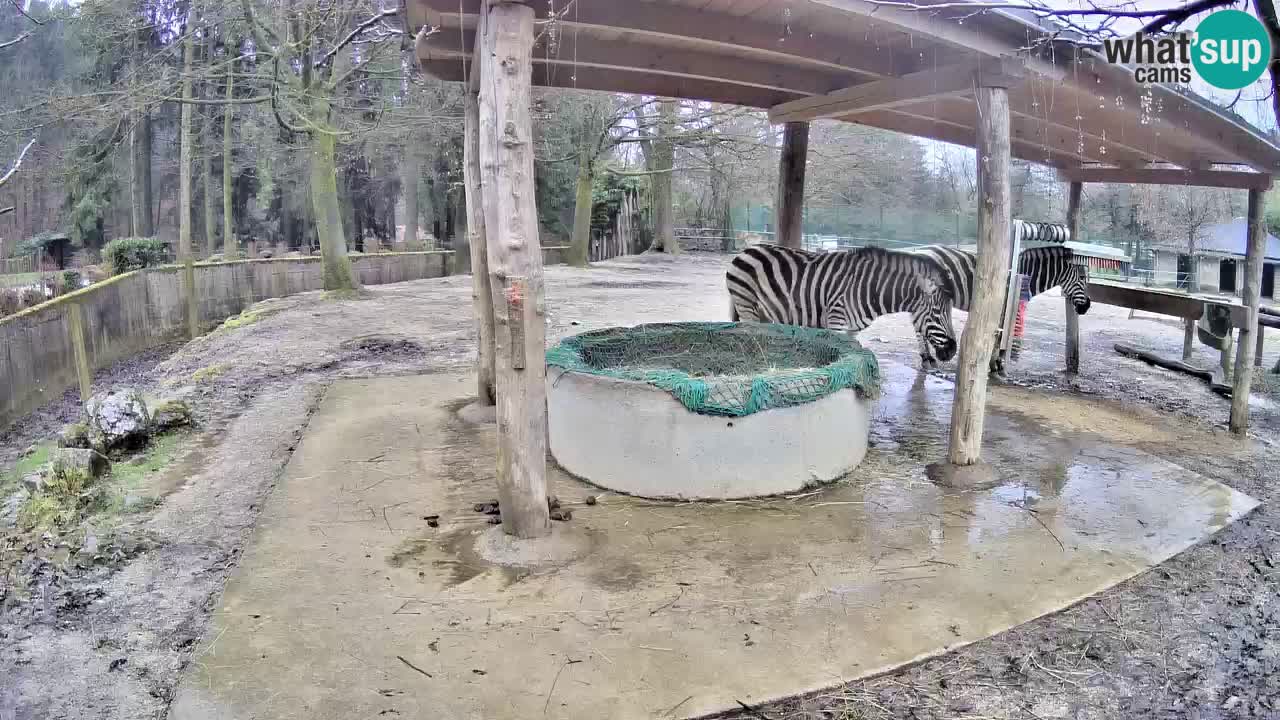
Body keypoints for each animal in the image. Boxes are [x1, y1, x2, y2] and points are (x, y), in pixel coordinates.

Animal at [727, 242, 957, 363]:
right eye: (937, 313)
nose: (953, 351)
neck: (871, 289)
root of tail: (747, 249)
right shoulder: (836, 322)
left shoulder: (852, 330)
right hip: (746, 305)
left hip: (763, 311)